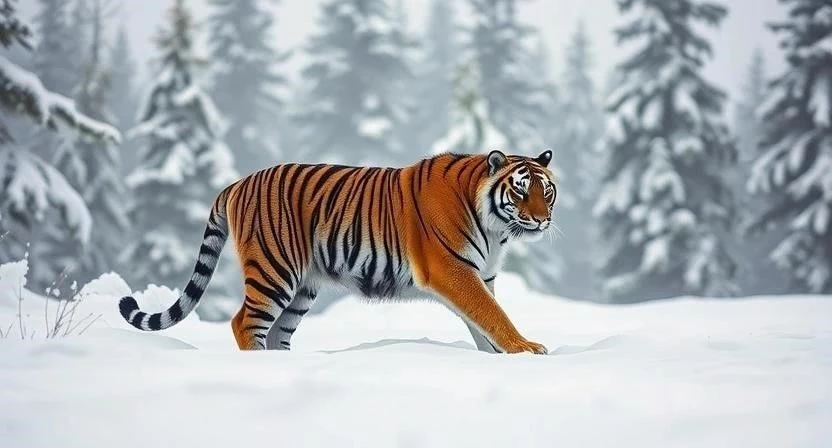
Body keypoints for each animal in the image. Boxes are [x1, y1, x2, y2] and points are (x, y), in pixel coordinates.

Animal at [119, 149, 557, 354]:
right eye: (521, 190)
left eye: (546, 191)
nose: (541, 220)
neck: (497, 229)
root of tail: (237, 182)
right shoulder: (454, 270)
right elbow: (492, 314)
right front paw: (526, 349)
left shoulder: (481, 275)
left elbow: (483, 320)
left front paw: (497, 356)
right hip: (274, 270)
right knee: (245, 322)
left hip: (303, 286)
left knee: (276, 332)